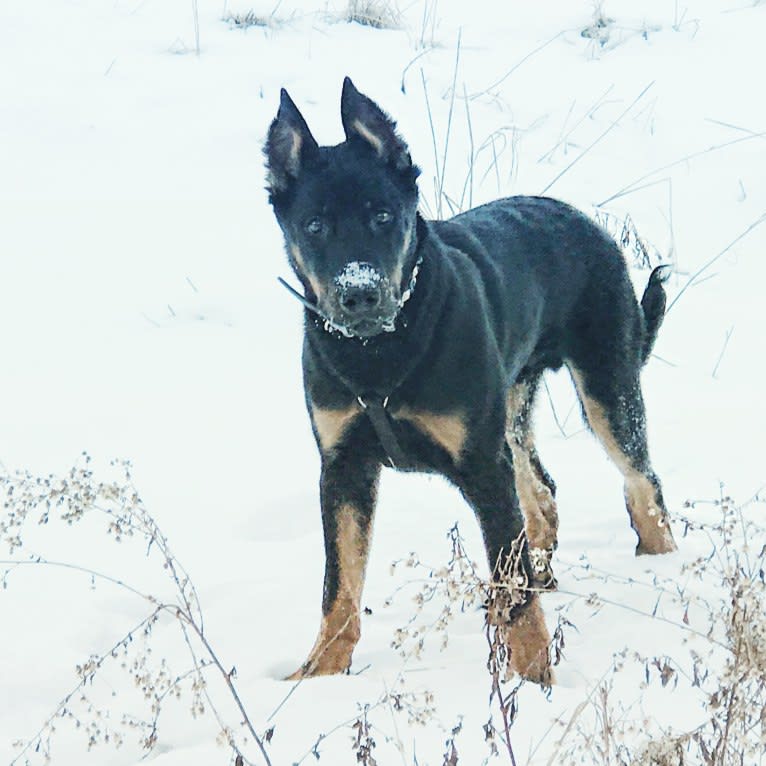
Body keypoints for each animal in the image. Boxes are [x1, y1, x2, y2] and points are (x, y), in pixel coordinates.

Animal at [264, 78, 680, 688]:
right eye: (314, 226)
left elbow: (514, 586)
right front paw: (319, 676)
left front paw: (534, 683)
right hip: (512, 408)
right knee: (543, 494)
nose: (359, 293)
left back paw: (661, 567)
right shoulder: (342, 466)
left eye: (383, 215)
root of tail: (584, 220)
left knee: (642, 482)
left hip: (606, 385)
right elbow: (338, 586)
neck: (381, 349)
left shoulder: (482, 467)